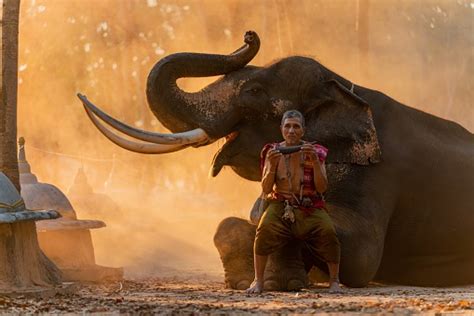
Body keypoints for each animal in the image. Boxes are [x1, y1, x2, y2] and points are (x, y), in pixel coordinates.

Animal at [78, 31, 474, 288]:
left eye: (254, 91)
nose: (249, 36)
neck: (345, 85)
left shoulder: (378, 173)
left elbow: (361, 254)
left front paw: (282, 274)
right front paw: (246, 278)